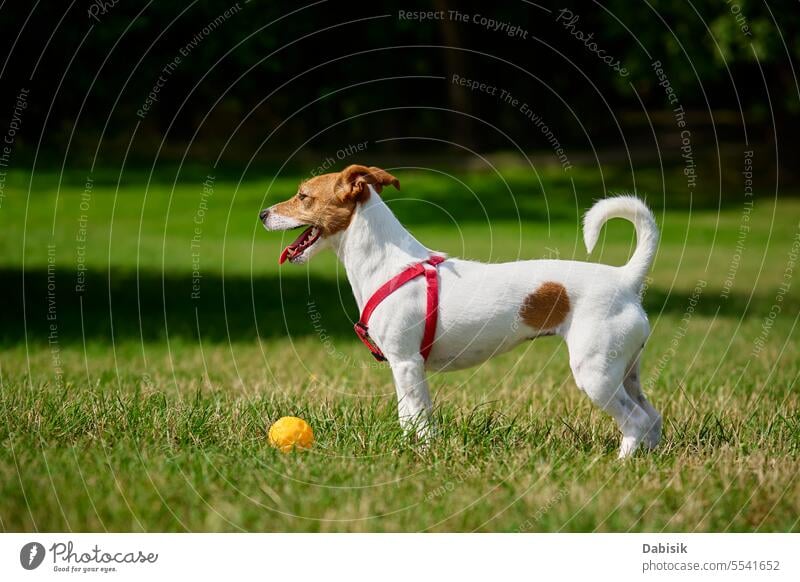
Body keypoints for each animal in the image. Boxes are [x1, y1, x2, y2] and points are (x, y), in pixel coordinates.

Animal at [260, 165, 660, 460]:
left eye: (303, 196)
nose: (263, 214)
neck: (388, 264)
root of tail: (625, 279)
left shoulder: (407, 363)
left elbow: (419, 419)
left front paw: (423, 455)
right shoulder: (403, 368)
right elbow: (408, 417)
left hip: (595, 374)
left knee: (636, 421)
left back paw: (621, 464)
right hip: (624, 370)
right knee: (652, 417)